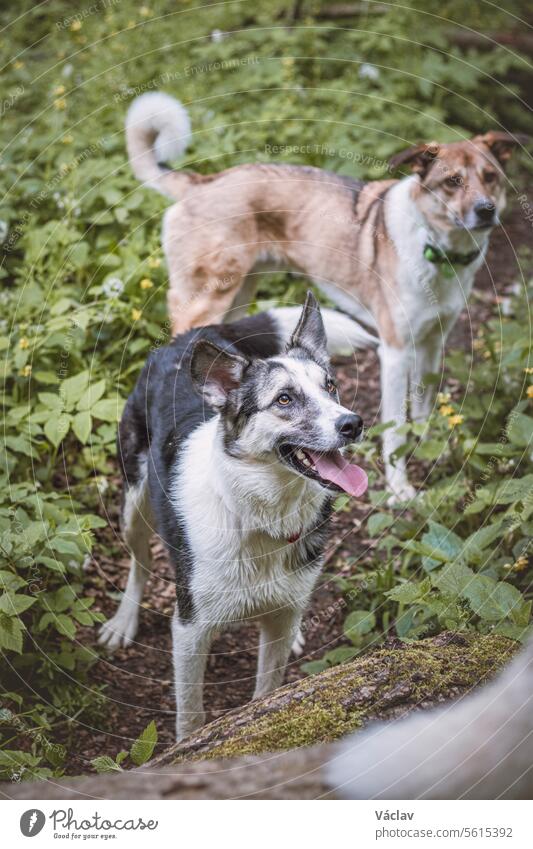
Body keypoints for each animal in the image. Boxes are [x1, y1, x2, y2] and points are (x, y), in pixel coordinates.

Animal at [98, 294, 366, 740]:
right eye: (284, 399)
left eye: (330, 386)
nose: (353, 423)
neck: (259, 515)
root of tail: (194, 335)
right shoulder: (189, 628)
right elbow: (190, 712)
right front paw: (187, 747)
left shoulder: (279, 620)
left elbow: (268, 689)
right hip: (134, 503)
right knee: (140, 562)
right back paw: (123, 620)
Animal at [127, 93, 524, 500]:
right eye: (452, 182)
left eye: (490, 177)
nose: (486, 210)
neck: (436, 250)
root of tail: (201, 183)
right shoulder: (395, 353)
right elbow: (396, 429)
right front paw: (399, 488)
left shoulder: (433, 343)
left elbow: (424, 410)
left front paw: (434, 453)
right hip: (208, 298)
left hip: (239, 294)